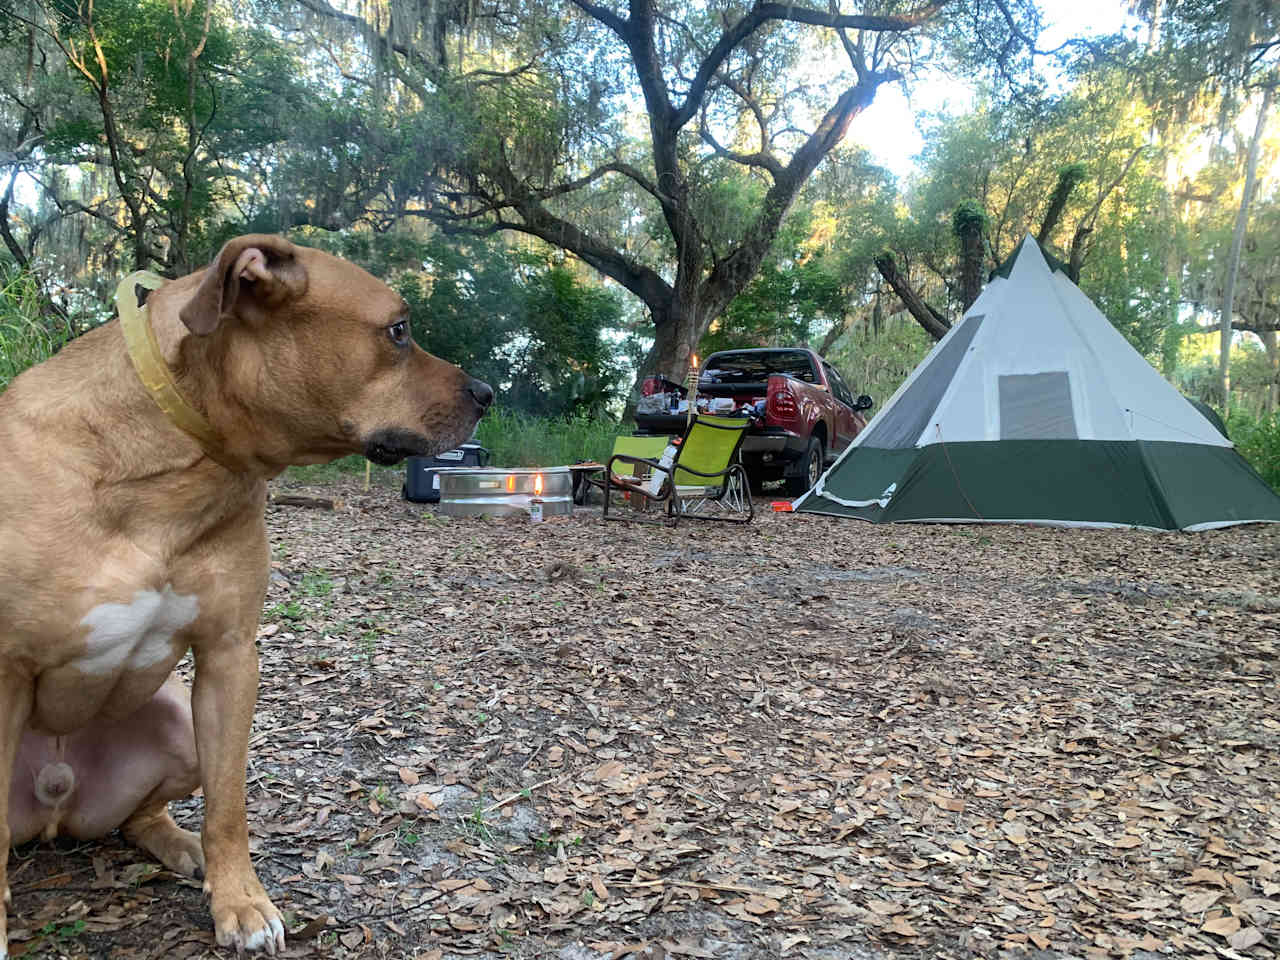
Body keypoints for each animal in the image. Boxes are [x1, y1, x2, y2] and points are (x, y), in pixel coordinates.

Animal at [0, 236, 488, 957]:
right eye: (399, 330)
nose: (486, 392)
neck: (172, 471)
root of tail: (55, 806)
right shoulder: (6, 672)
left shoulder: (229, 659)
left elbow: (228, 805)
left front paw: (240, 901)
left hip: (176, 723)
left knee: (141, 814)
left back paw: (178, 843)